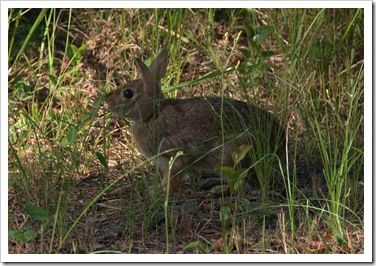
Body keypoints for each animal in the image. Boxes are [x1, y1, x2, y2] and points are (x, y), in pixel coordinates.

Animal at [106, 49, 284, 191]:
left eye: (128, 93)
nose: (108, 102)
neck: (152, 115)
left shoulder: (172, 156)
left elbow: (172, 180)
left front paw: (159, 191)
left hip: (231, 155)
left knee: (241, 184)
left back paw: (217, 189)